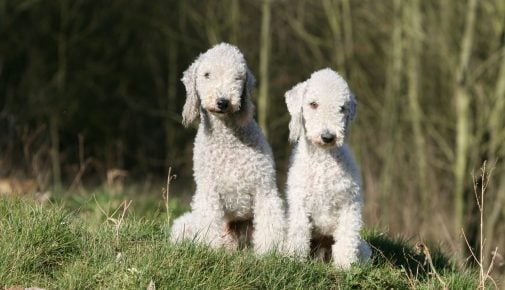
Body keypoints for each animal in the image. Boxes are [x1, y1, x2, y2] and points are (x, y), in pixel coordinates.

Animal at [169, 43, 286, 254]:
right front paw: (210, 249)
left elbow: (269, 223)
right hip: (185, 224)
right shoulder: (208, 191)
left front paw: (269, 253)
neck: (228, 141)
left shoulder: (264, 188)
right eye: (207, 74)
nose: (223, 102)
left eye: (238, 77)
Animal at [284, 68, 370, 268]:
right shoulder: (299, 203)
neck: (323, 161)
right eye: (313, 104)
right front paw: (294, 261)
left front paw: (345, 268)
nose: (328, 137)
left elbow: (346, 238)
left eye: (342, 108)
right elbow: (299, 233)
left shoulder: (349, 204)